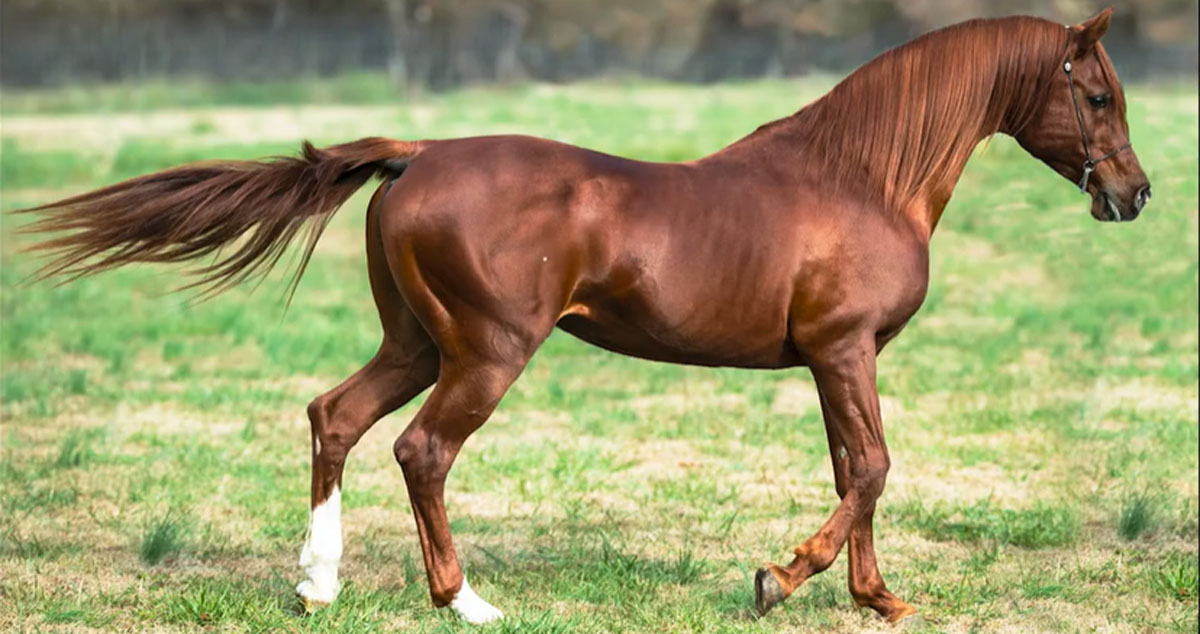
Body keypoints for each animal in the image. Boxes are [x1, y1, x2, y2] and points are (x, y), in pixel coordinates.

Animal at [14, 8, 1147, 624]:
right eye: (1096, 96)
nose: (1132, 197)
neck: (863, 178)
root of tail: (418, 157)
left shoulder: (836, 357)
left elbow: (852, 471)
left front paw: (876, 598)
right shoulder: (844, 350)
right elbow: (868, 469)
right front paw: (779, 579)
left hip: (415, 343)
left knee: (335, 418)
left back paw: (317, 586)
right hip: (485, 354)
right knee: (421, 451)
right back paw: (463, 601)